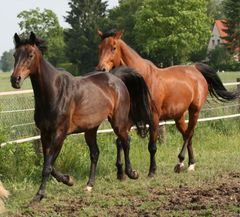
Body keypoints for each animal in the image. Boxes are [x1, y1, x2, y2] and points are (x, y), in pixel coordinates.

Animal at [10, 32, 152, 203]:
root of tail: (116, 78)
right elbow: (48, 162)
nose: (15, 80)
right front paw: (68, 180)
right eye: (15, 55)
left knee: (125, 141)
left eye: (30, 55)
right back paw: (90, 184)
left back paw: (131, 173)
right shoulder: (44, 133)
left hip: (118, 122)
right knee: (95, 153)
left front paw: (39, 195)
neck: (54, 92)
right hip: (91, 129)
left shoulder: (59, 134)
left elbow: (47, 165)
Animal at [96, 30, 240, 176]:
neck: (142, 79)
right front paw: (122, 172)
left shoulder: (153, 118)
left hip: (195, 110)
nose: (101, 69)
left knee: (189, 133)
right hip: (179, 116)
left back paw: (181, 162)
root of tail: (195, 68)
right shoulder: (131, 118)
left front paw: (152, 171)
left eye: (113, 47)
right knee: (187, 134)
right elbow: (119, 141)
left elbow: (152, 147)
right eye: (100, 47)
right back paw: (190, 164)